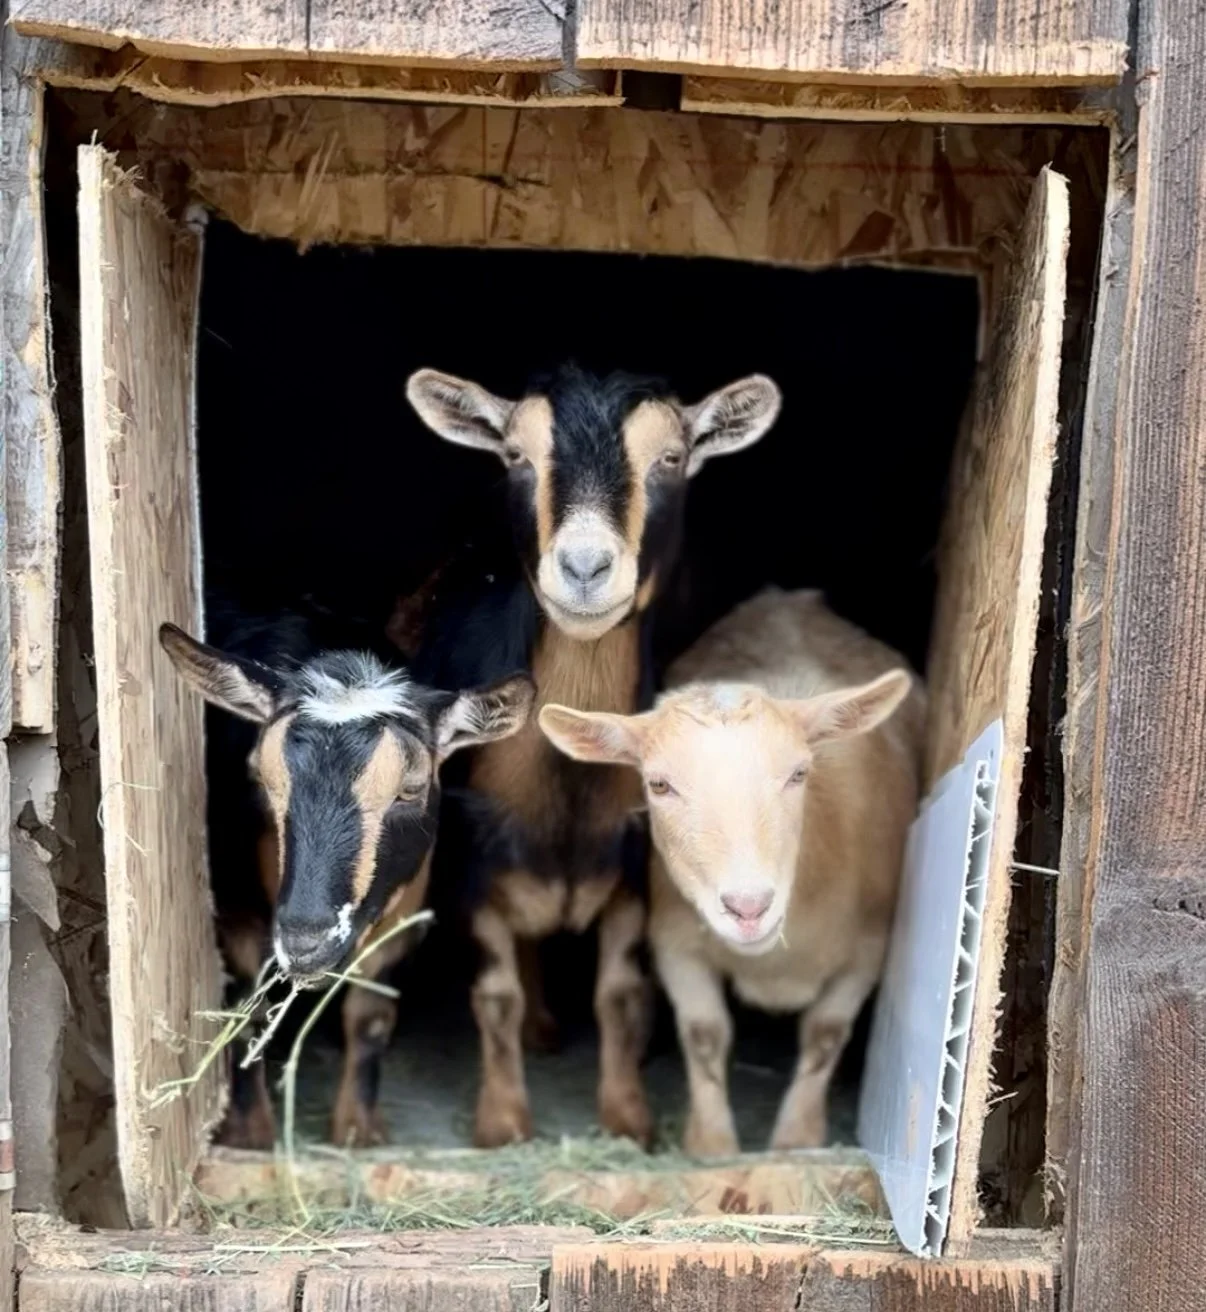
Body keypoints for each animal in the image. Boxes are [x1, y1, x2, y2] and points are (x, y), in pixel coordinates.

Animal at [159, 609, 533, 1148]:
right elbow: (248, 1004)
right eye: (259, 778)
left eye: (411, 788)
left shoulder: (403, 912)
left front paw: (358, 1129)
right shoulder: (234, 903)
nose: (306, 940)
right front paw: (248, 1132)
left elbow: (371, 1016)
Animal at [405, 363, 782, 1147]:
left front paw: (628, 1117)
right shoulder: (467, 863)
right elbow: (495, 992)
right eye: (515, 456)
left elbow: (620, 993)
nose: (583, 566)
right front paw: (503, 1121)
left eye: (671, 457)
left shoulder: (635, 865)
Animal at [540, 587, 924, 1155]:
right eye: (658, 785)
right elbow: (704, 1034)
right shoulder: (676, 940)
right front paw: (712, 1144)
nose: (748, 907)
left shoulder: (869, 949)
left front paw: (797, 1141)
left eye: (799, 773)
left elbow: (825, 1033)